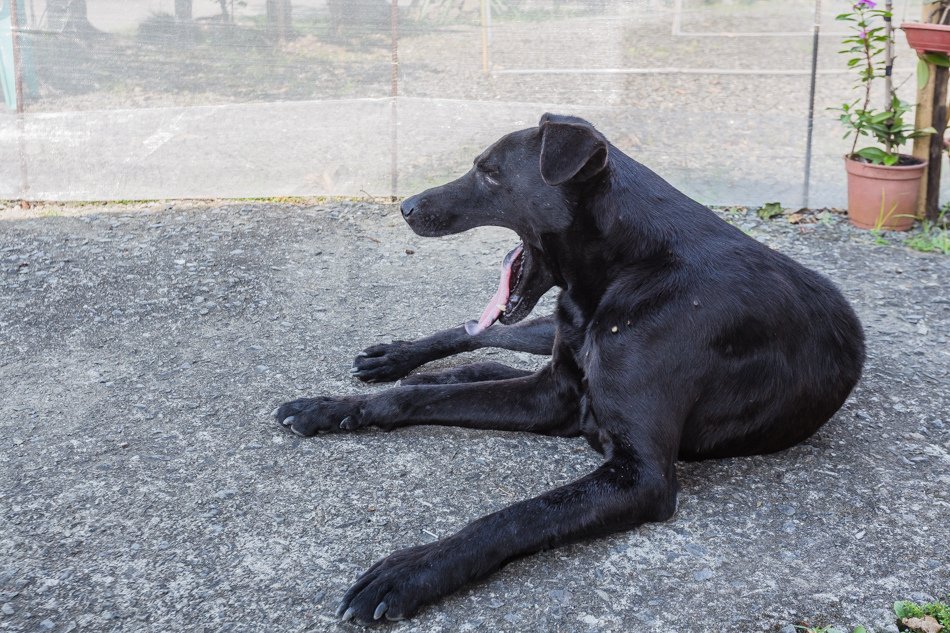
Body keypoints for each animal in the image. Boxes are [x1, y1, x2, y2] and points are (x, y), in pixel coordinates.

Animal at [272, 113, 868, 624]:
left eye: (489, 173)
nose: (407, 207)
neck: (632, 265)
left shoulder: (635, 471)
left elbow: (518, 513)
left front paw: (413, 570)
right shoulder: (555, 393)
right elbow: (411, 398)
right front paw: (330, 407)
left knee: (485, 354)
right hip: (543, 334)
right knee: (478, 333)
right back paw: (400, 358)